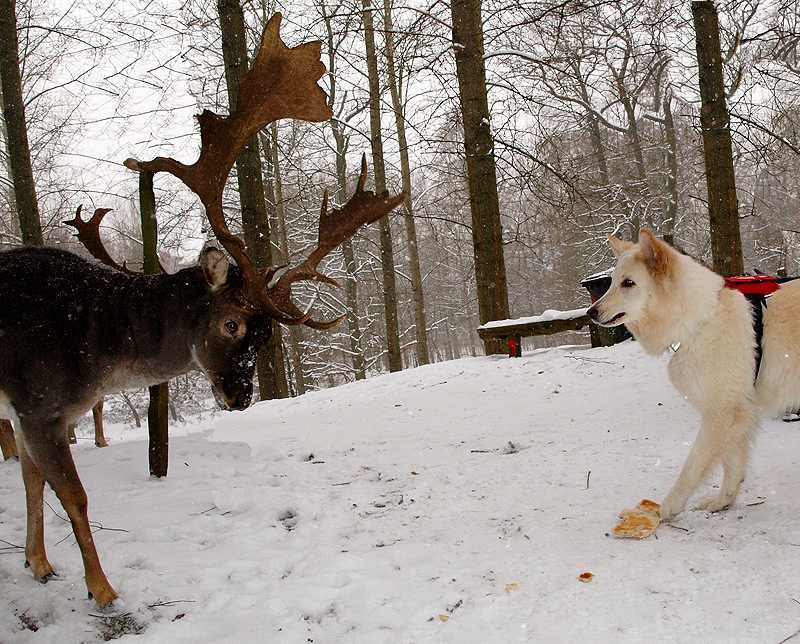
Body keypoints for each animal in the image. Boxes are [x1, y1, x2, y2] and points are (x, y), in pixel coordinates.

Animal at [0, 16, 406, 608]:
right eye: (231, 323)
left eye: (268, 337)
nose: (240, 397)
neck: (90, 347)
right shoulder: (38, 404)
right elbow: (73, 496)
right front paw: (102, 590)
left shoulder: (26, 413)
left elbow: (32, 484)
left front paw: (39, 564)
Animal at [584, 229, 800, 520]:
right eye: (611, 283)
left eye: (628, 283)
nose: (590, 313)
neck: (701, 320)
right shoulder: (737, 411)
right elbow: (732, 464)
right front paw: (723, 502)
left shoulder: (724, 411)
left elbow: (693, 465)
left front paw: (670, 506)